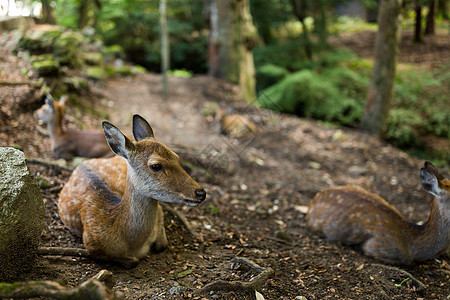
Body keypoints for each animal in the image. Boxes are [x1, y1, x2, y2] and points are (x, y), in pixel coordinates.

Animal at [57, 114, 207, 268]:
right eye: (156, 166)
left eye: (176, 157)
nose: (201, 193)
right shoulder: (91, 244)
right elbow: (133, 261)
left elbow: (162, 244)